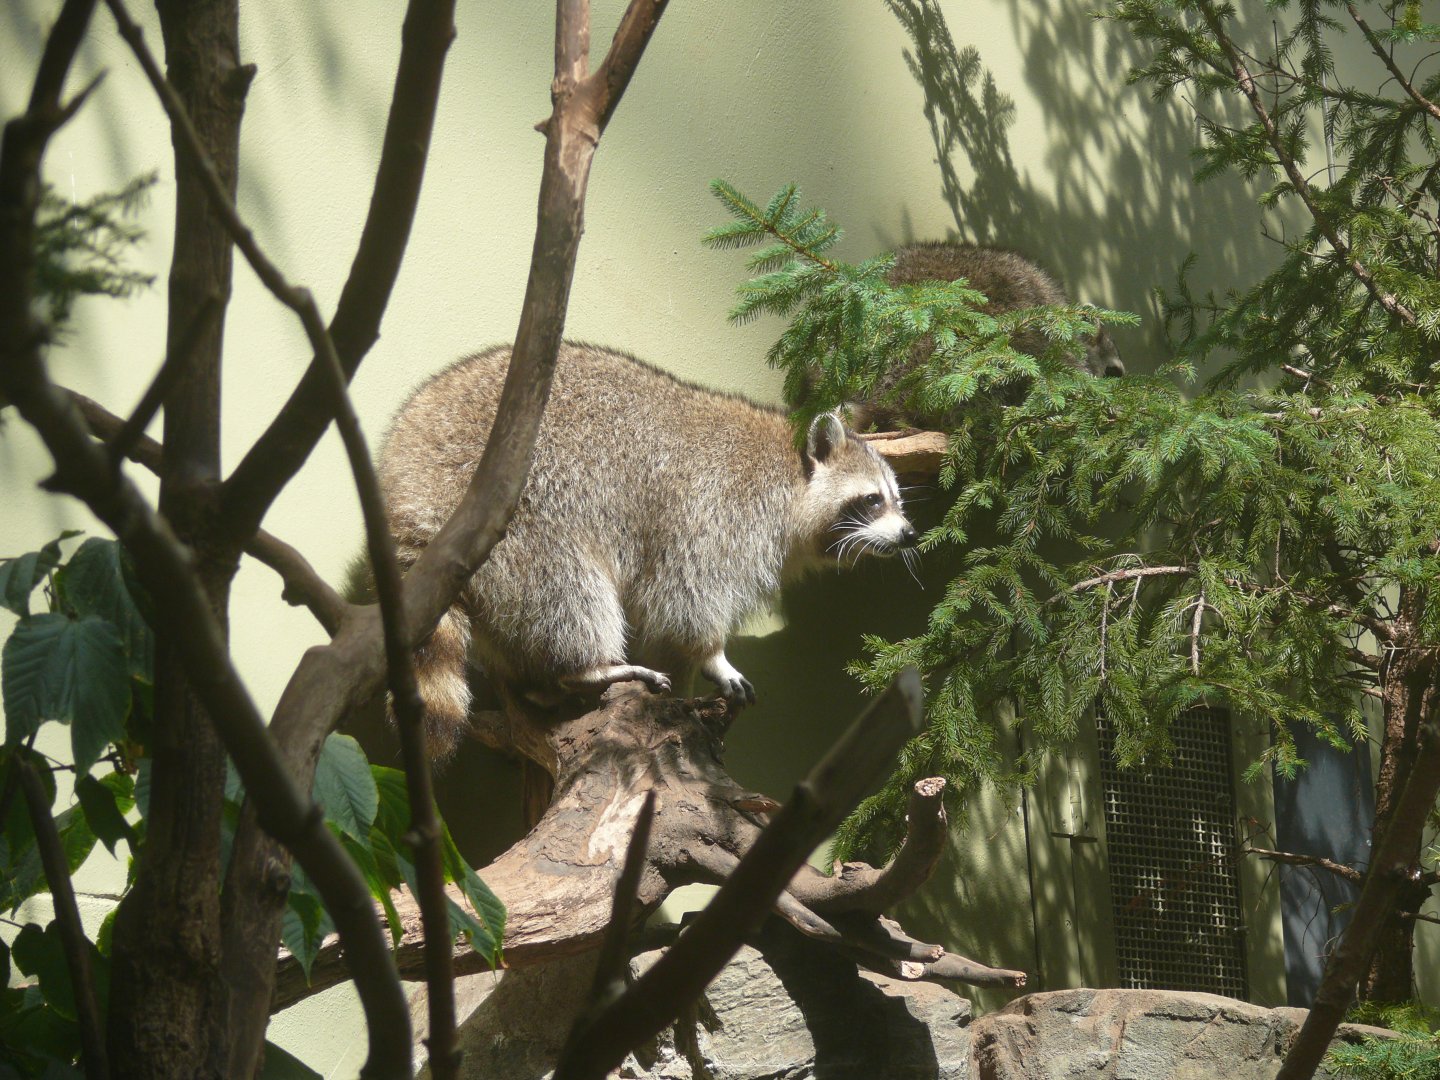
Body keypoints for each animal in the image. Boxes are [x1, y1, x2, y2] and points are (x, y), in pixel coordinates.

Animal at [378, 341, 918, 757]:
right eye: (873, 500)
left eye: (897, 499)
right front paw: (714, 656)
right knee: (568, 589)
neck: (789, 474)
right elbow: (685, 597)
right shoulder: (715, 511)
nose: (910, 535)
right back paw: (589, 667)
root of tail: (406, 486)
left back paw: (539, 682)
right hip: (519, 519)